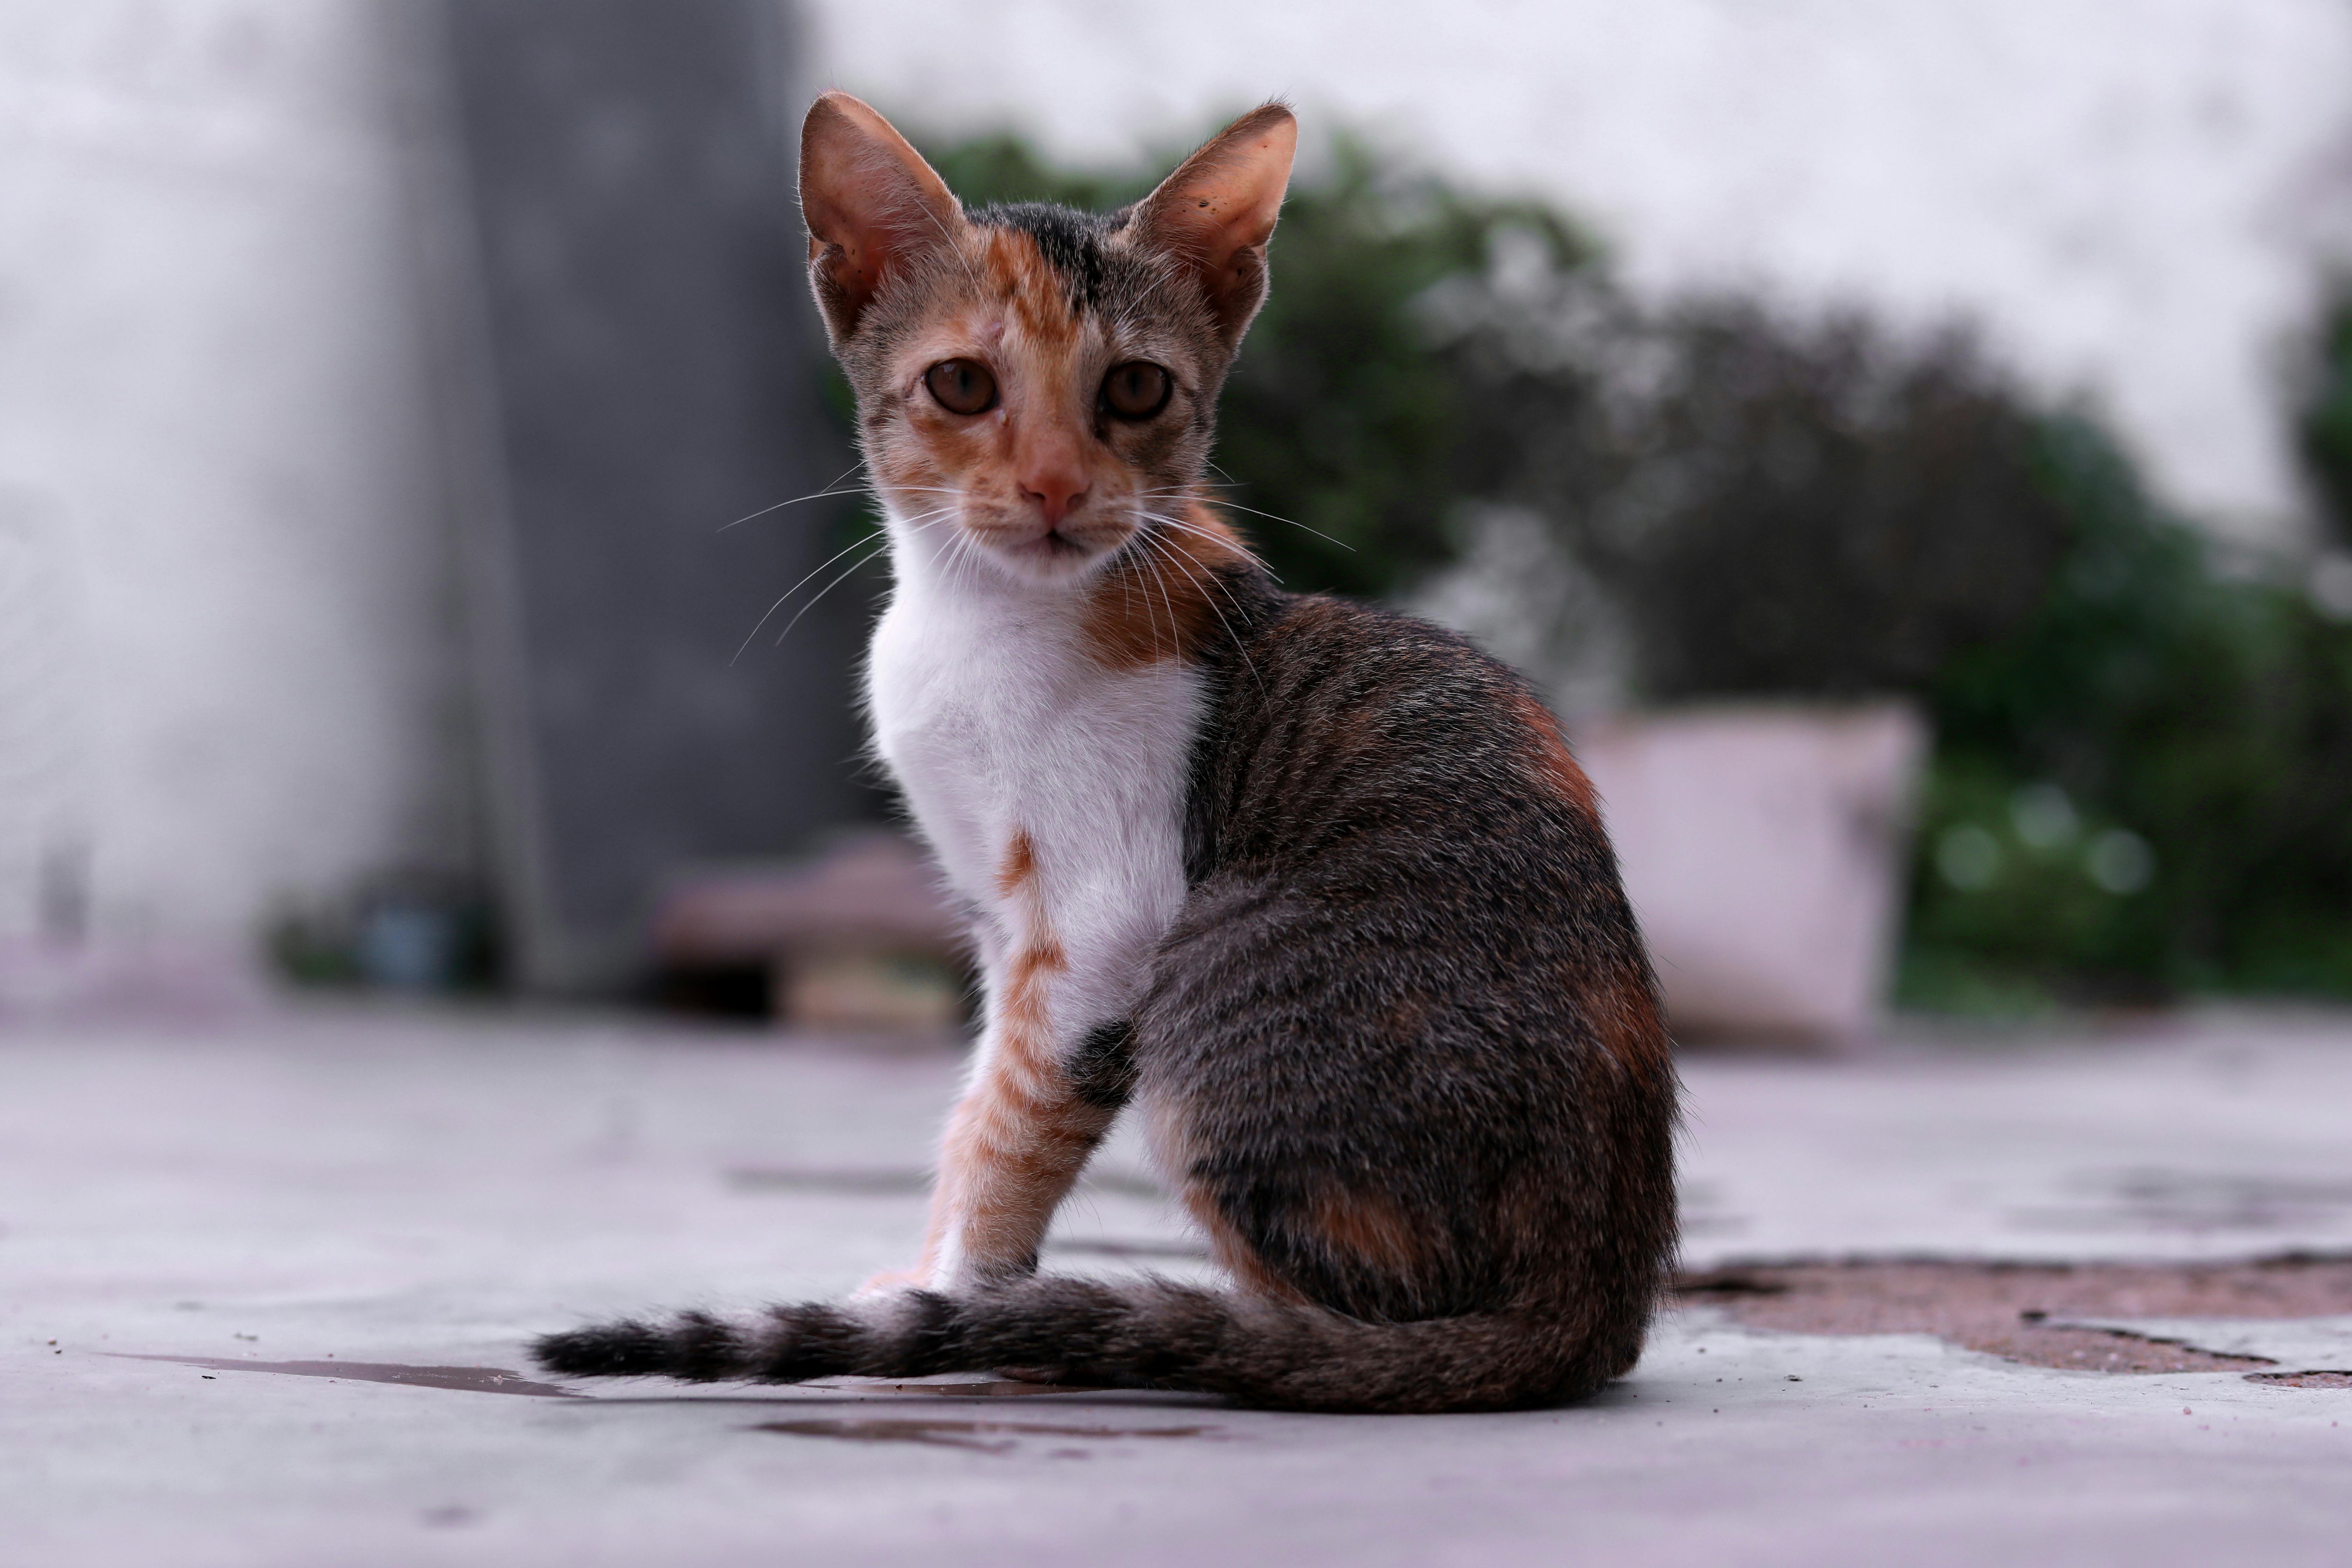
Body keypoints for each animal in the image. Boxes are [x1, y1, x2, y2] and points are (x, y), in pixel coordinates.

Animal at [538, 92, 1674, 1420]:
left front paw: (958, 1302)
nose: (1052, 486)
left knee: (1337, 1330)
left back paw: (1144, 1330)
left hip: (1216, 983)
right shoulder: (997, 919)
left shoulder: (1099, 924)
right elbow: (976, 1099)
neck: (978, 624)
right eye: (961, 384)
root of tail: (1598, 1304)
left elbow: (1010, 1123)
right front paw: (927, 1288)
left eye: (1135, 389)